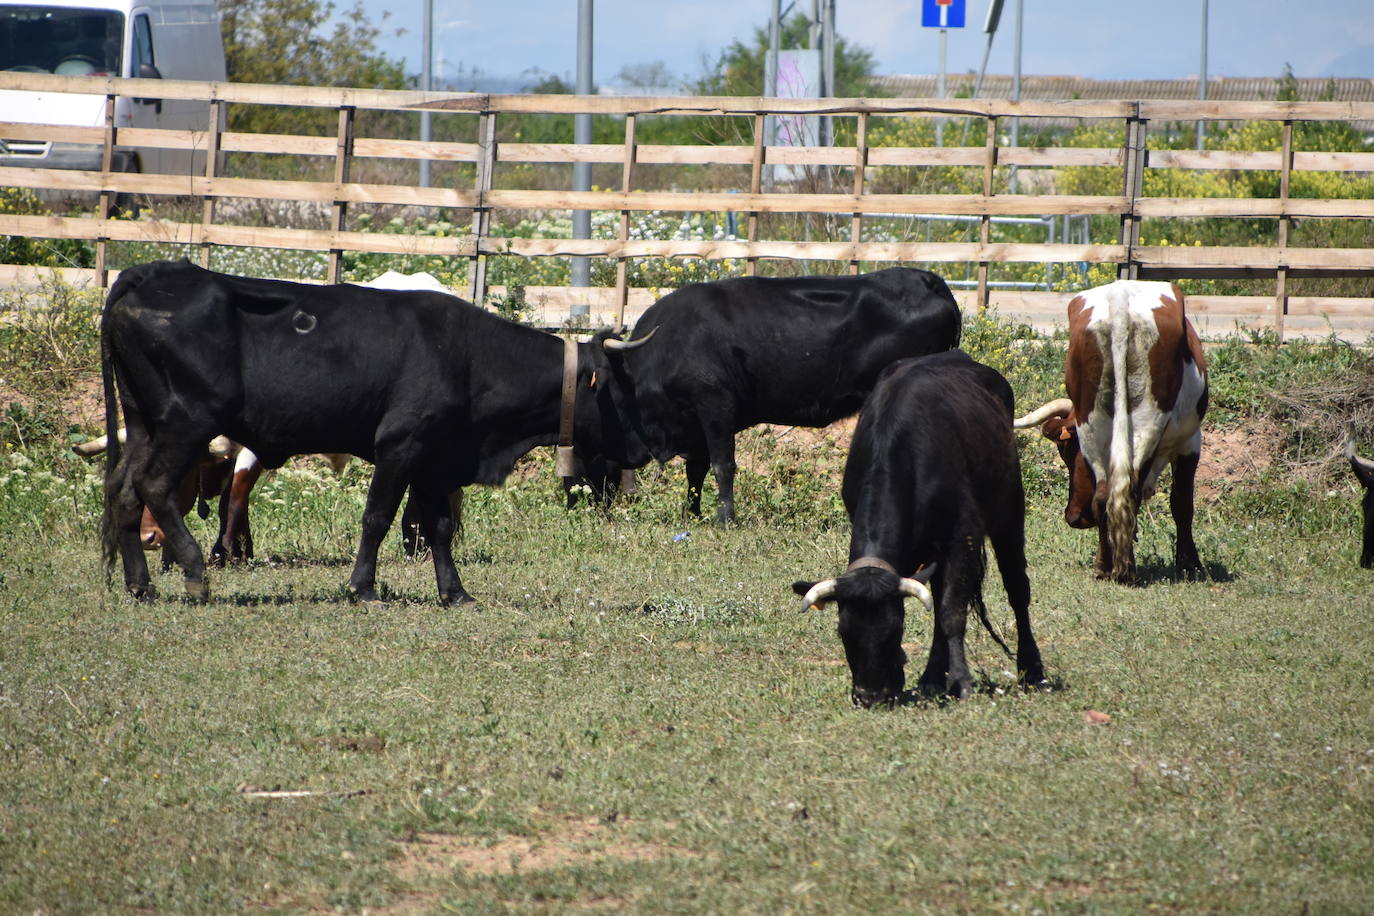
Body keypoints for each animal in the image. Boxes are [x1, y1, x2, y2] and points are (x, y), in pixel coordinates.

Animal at [100, 260, 648, 604]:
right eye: (620, 388)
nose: (645, 449)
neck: (467, 356)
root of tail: (153, 273)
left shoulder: (436, 458)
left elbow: (438, 527)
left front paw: (455, 593)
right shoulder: (400, 447)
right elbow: (377, 518)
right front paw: (363, 588)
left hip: (144, 422)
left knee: (123, 489)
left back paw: (139, 585)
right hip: (186, 421)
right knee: (153, 485)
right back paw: (194, 574)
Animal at [596, 266, 961, 521]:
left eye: (603, 382)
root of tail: (928, 280)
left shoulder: (715, 406)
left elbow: (722, 464)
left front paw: (725, 518)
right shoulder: (695, 422)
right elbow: (695, 471)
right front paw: (692, 514)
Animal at [791, 351, 1044, 708]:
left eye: (895, 629)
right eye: (843, 631)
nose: (869, 696)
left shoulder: (961, 537)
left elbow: (952, 612)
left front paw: (961, 682)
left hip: (1009, 511)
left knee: (1017, 590)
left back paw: (1032, 670)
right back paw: (933, 679)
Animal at [1016, 280, 1209, 585]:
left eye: (1066, 451)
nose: (1074, 517)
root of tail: (1120, 299)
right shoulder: (1190, 442)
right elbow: (1182, 504)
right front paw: (1190, 563)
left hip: (1092, 425)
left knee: (1104, 497)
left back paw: (1105, 567)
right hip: (1147, 425)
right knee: (1127, 494)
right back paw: (1125, 569)